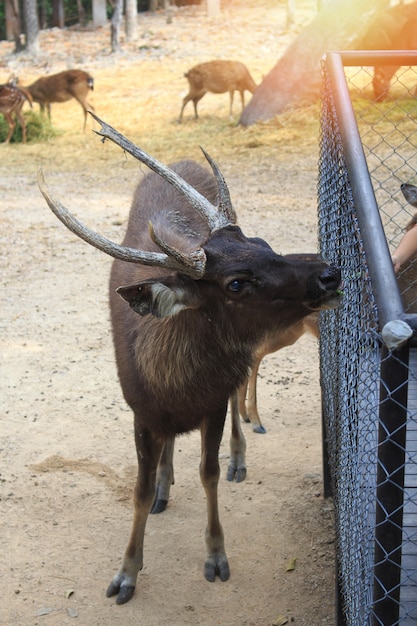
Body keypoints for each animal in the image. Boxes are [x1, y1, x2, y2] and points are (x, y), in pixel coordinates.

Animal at [39, 113, 340, 604]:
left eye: (264, 243)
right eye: (236, 283)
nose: (329, 272)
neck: (173, 387)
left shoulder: (211, 404)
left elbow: (209, 473)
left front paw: (216, 557)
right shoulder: (141, 413)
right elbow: (139, 492)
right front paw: (125, 575)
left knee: (240, 392)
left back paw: (239, 456)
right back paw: (167, 481)